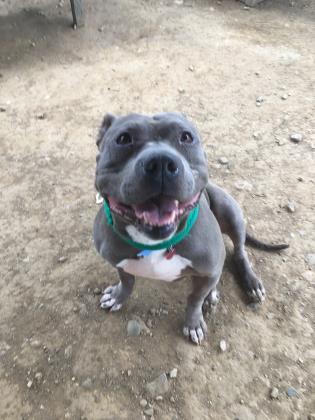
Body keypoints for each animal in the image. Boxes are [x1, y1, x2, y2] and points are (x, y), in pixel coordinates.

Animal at [93, 112, 288, 344]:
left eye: (186, 137)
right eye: (123, 139)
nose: (160, 162)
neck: (155, 244)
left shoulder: (209, 268)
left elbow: (195, 298)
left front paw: (193, 323)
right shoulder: (118, 261)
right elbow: (127, 280)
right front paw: (118, 296)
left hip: (230, 211)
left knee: (239, 252)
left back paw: (247, 284)